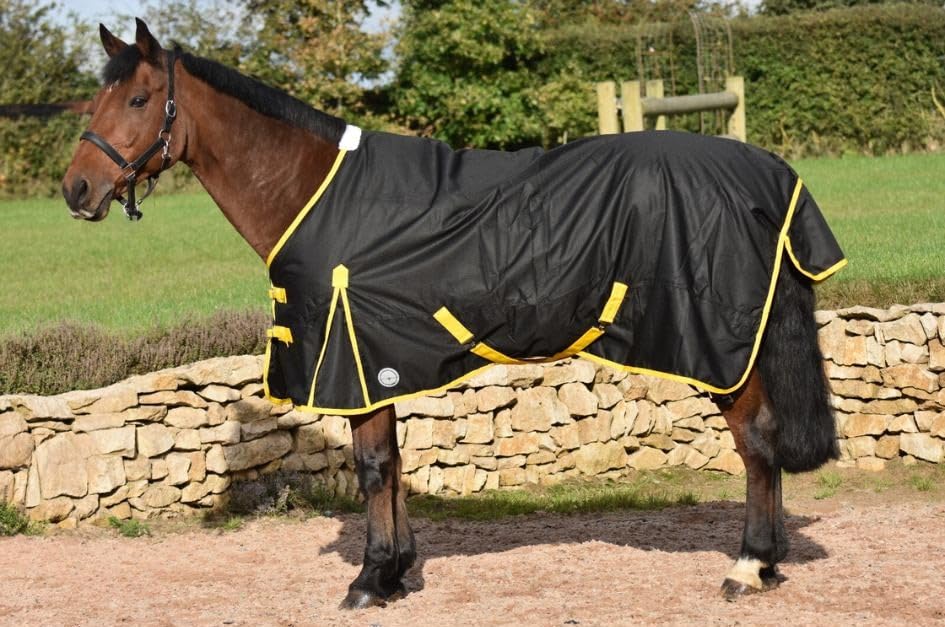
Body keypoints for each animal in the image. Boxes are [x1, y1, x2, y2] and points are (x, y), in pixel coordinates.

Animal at [62, 19, 845, 609]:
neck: (315, 194)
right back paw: (766, 563)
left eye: (139, 99)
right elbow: (395, 465)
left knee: (757, 443)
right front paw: (398, 571)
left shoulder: (354, 358)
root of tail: (767, 172)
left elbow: (372, 467)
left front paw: (370, 579)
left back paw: (747, 565)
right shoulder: (382, 364)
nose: (77, 189)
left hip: (721, 350)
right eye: (94, 102)